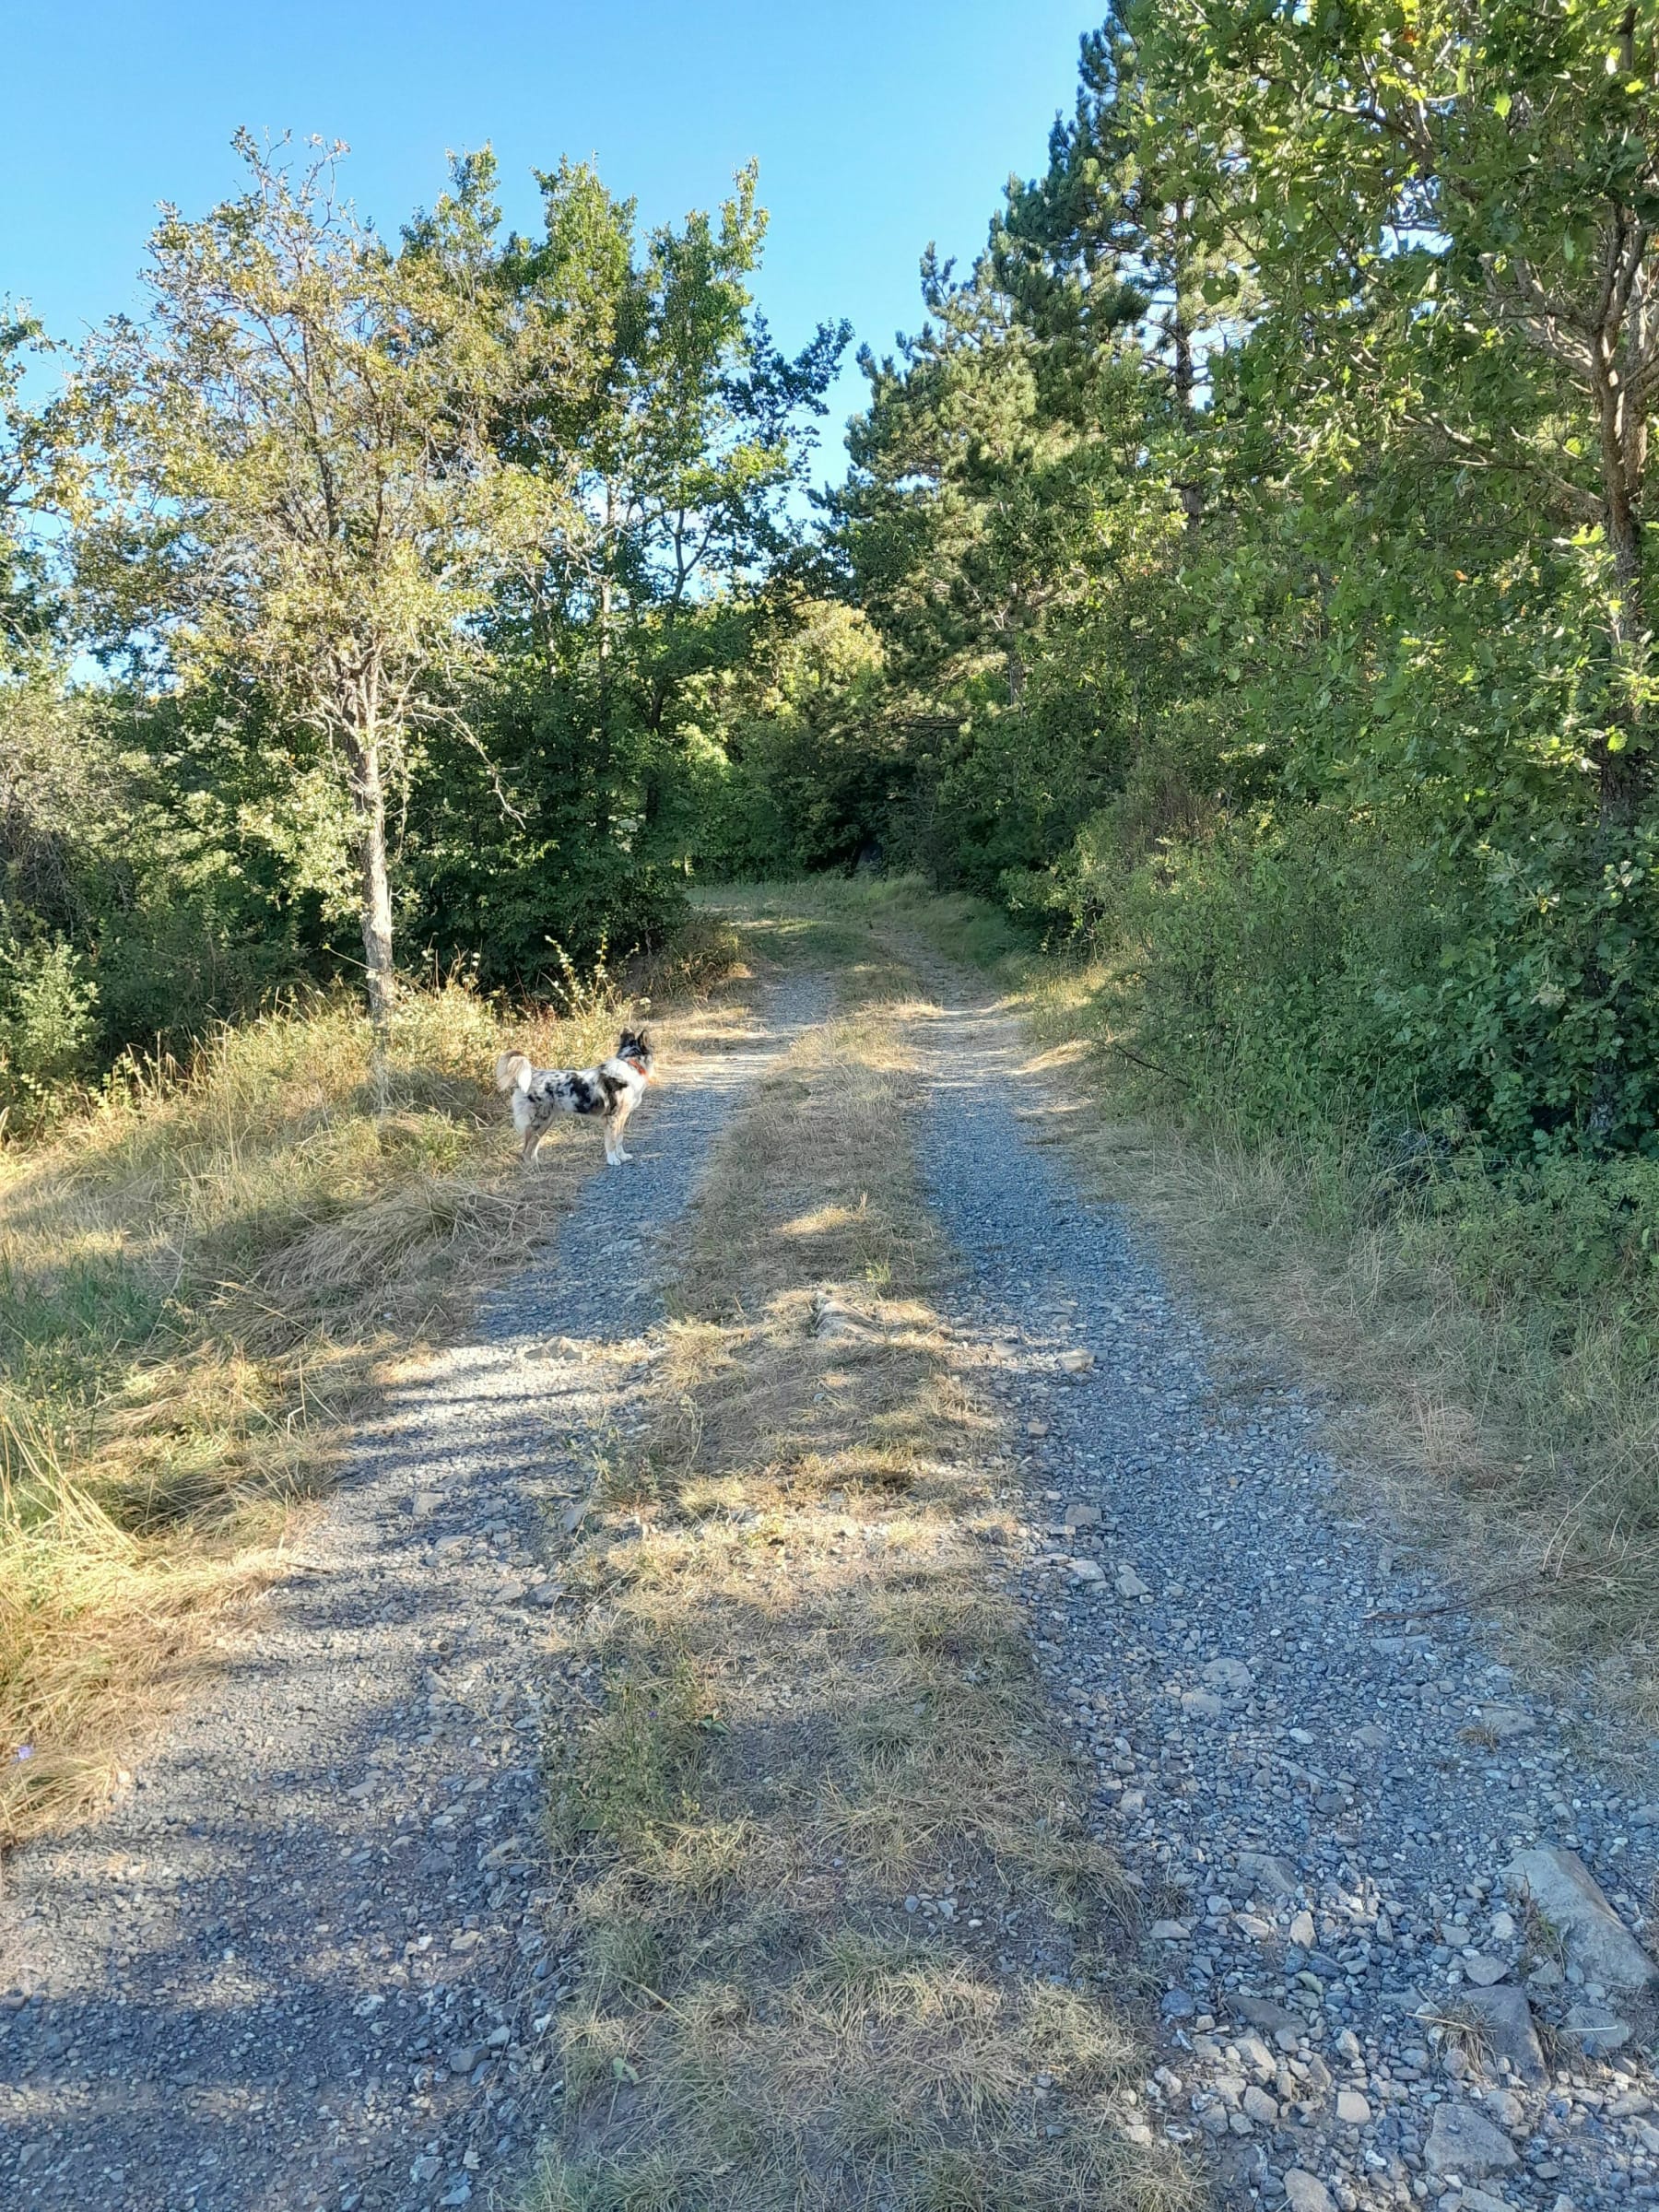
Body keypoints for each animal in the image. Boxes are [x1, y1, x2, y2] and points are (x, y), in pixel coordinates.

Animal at [493, 1030, 654, 1176]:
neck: (631, 1064)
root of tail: (533, 1074)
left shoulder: (622, 1117)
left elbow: (619, 1139)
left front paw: (622, 1156)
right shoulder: (612, 1118)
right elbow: (611, 1141)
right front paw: (613, 1160)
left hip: (546, 1122)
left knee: (533, 1146)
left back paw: (538, 1165)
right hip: (538, 1121)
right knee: (526, 1149)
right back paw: (531, 1169)